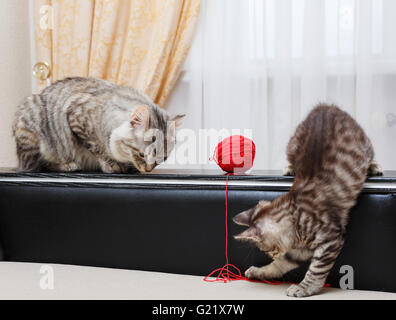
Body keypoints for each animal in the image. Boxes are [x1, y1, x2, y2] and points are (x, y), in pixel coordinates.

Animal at [13, 76, 183, 174]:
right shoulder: (76, 117)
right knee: (38, 165)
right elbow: (96, 148)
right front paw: (112, 166)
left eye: (163, 158)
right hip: (33, 129)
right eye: (142, 154)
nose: (147, 170)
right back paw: (69, 165)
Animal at [234, 104, 382, 298]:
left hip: (365, 143)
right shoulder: (299, 251)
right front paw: (261, 271)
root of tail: (324, 107)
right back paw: (289, 167)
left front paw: (304, 288)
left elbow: (316, 270)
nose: (271, 255)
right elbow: (281, 264)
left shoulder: (330, 239)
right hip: (293, 144)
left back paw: (373, 166)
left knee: (370, 154)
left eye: (266, 249)